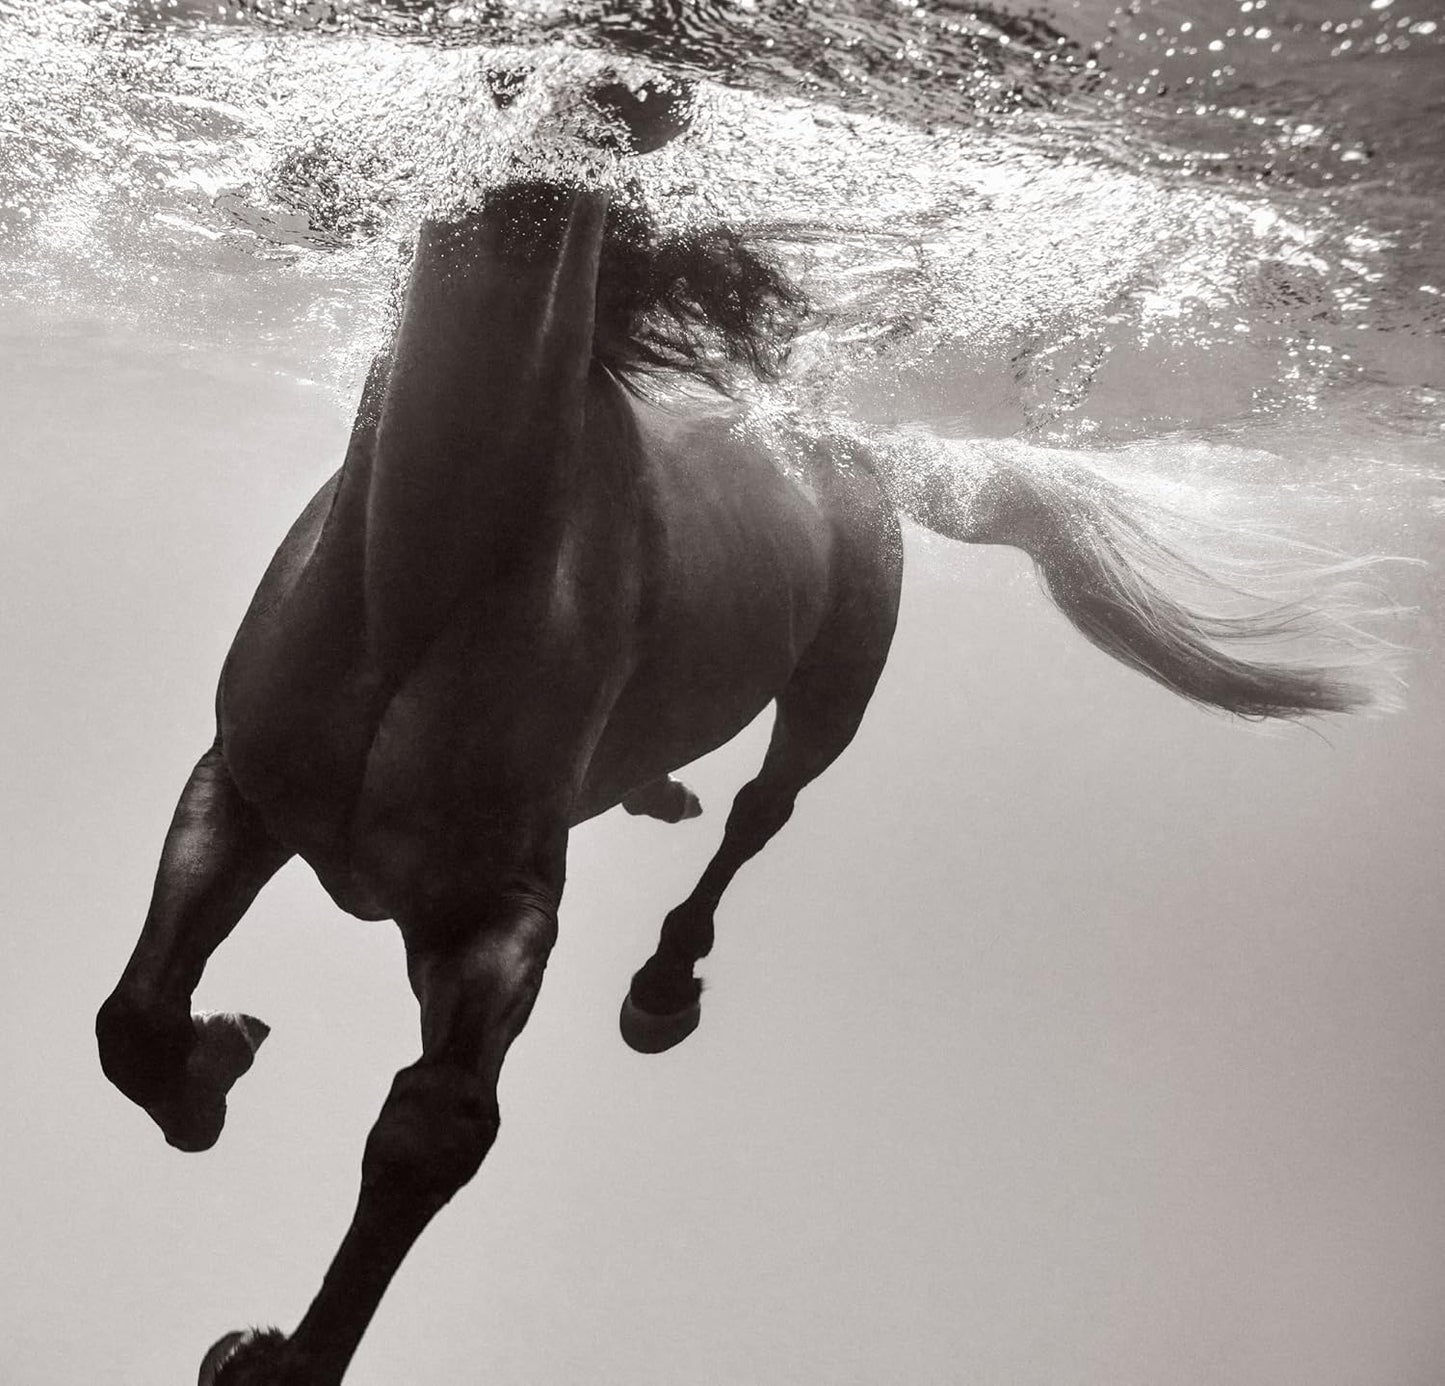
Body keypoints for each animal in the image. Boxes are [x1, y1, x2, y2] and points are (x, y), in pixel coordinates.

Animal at [94, 80, 1379, 1386]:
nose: (627, 86)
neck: (427, 570)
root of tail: (848, 451)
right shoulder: (236, 788)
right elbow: (131, 1016)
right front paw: (214, 1061)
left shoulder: (501, 907)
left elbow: (429, 1129)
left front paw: (274, 1354)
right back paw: (655, 795)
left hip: (837, 682)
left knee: (763, 813)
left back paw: (663, 988)